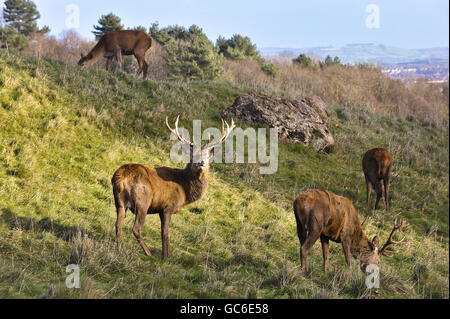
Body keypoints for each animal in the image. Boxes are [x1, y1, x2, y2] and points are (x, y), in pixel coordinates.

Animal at [111, 117, 236, 260]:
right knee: (136, 228)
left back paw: (118, 248)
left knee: (118, 223)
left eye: (207, 156)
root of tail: (120, 177)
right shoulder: (168, 207)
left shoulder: (160, 209)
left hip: (119, 201)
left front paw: (168, 254)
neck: (184, 190)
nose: (201, 163)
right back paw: (148, 253)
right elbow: (166, 232)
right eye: (193, 155)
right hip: (142, 202)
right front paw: (166, 257)